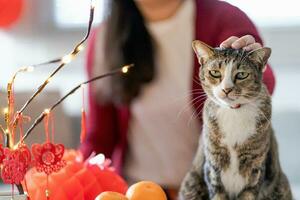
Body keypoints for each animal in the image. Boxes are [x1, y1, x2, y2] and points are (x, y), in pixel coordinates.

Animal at [179, 41, 292, 200]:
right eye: (215, 73)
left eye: (242, 75)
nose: (226, 89)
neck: (233, 112)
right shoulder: (212, 165)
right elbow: (217, 193)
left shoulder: (256, 166)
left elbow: (249, 193)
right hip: (191, 184)